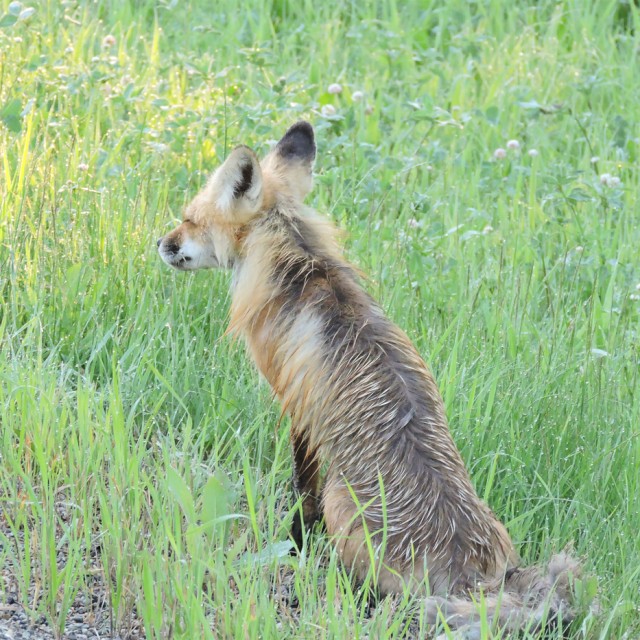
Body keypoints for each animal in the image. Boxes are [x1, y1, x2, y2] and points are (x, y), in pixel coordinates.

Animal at [157, 121, 581, 635]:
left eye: (189, 218)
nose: (160, 243)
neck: (300, 271)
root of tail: (471, 578)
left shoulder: (297, 410)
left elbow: (302, 493)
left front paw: (296, 547)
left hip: (344, 505)